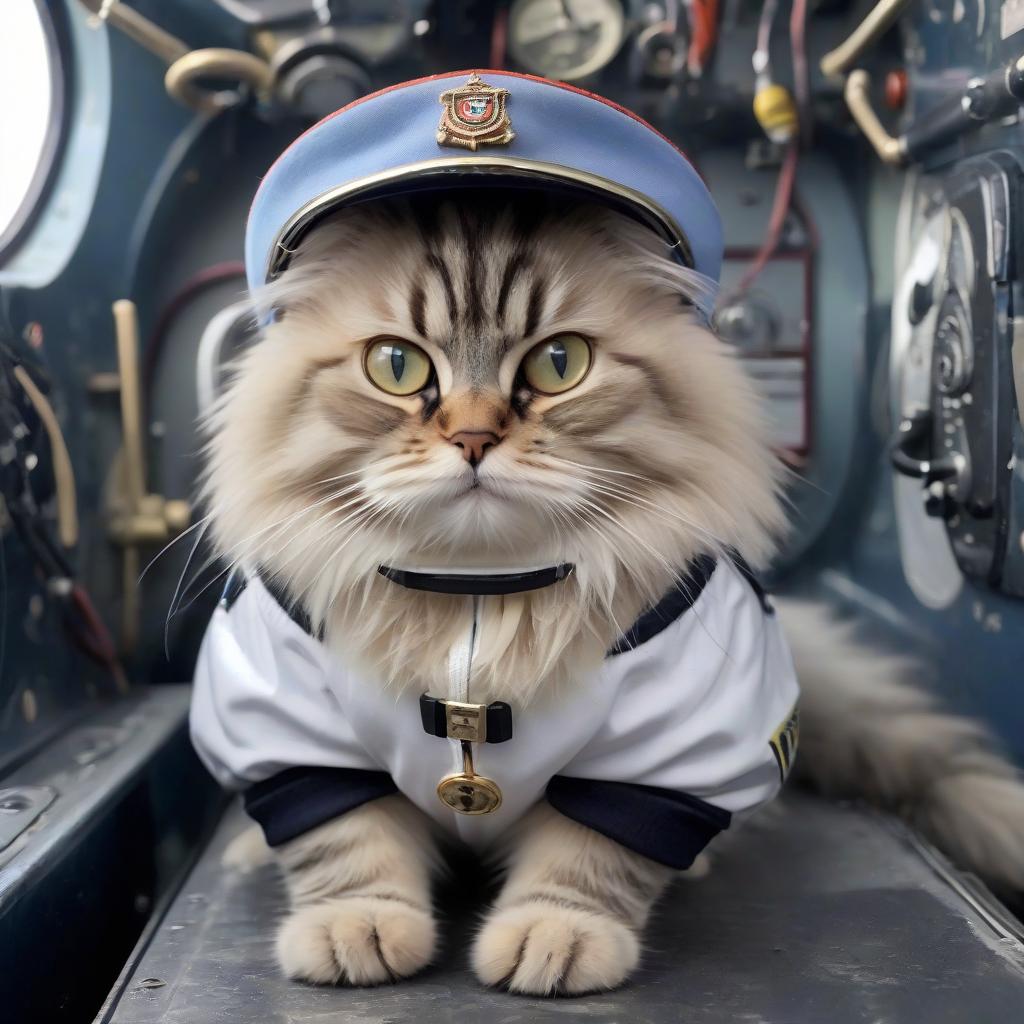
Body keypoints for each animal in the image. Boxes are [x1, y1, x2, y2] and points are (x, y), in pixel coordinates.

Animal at [192, 190, 1024, 991]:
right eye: (395, 366)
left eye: (560, 363)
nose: (472, 438)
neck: (476, 592)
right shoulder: (293, 729)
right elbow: (348, 846)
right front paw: (354, 926)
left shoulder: (664, 752)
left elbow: (589, 862)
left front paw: (555, 938)